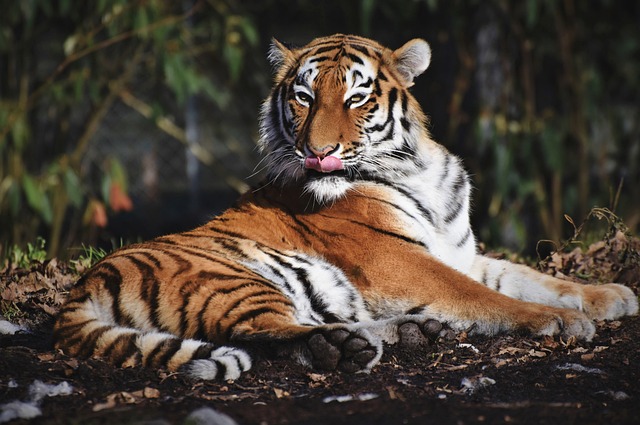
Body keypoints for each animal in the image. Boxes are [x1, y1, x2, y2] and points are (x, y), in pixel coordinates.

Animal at [53, 32, 636, 378]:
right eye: (303, 97)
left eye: (357, 98)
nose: (317, 151)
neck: (418, 169)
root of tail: (81, 288)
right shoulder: (397, 261)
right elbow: (489, 298)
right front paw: (559, 321)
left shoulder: (458, 253)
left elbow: (531, 278)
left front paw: (610, 296)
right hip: (230, 277)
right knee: (263, 333)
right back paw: (347, 347)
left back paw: (407, 332)